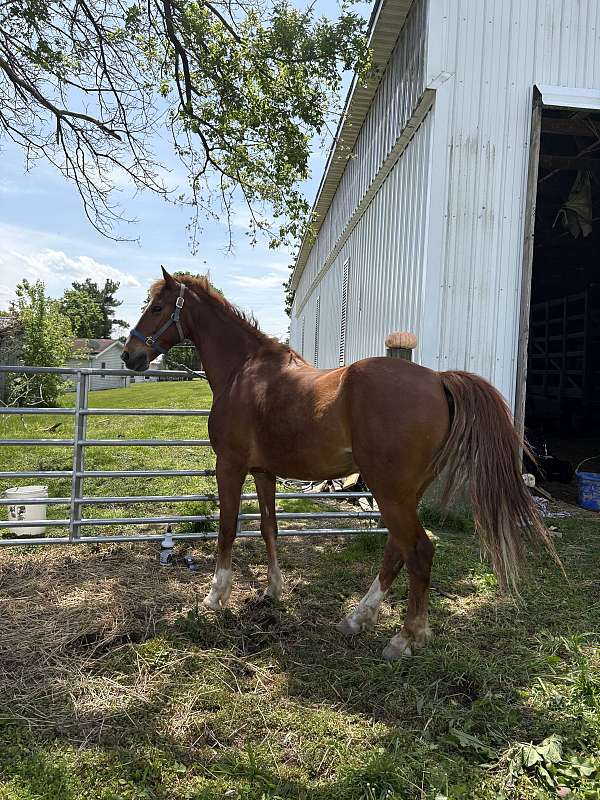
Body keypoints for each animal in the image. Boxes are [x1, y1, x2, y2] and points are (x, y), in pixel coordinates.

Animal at [122, 267, 558, 660]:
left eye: (157, 307)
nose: (130, 356)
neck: (245, 372)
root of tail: (438, 379)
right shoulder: (264, 472)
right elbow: (268, 527)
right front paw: (273, 590)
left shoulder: (230, 466)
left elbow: (228, 529)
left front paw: (216, 596)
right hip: (402, 493)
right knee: (397, 550)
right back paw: (357, 618)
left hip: (390, 492)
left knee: (418, 551)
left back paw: (405, 638)